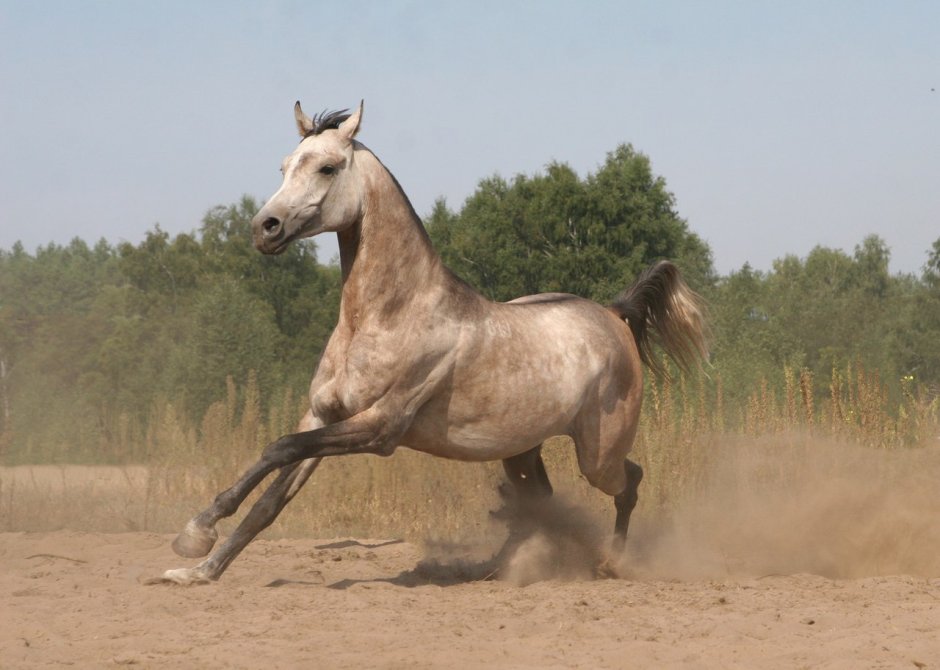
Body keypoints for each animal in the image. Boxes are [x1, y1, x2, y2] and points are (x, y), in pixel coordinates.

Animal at [159, 101, 707, 584]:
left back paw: (611, 563)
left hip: (598, 454)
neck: (387, 316)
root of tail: (614, 316)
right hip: (520, 449)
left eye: (328, 167)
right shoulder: (323, 415)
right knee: (544, 500)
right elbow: (271, 495)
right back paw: (503, 569)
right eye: (284, 166)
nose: (264, 228)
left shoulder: (379, 428)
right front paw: (197, 566)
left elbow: (278, 448)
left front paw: (195, 534)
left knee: (629, 482)